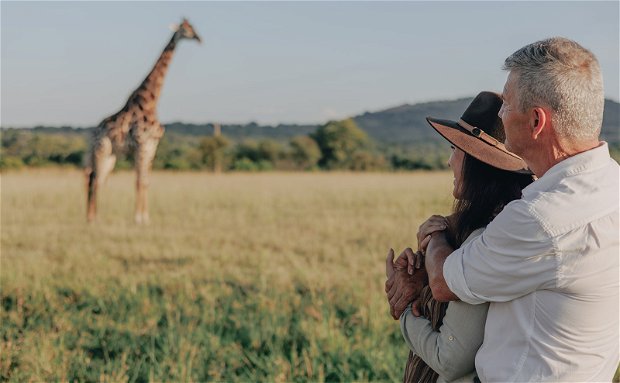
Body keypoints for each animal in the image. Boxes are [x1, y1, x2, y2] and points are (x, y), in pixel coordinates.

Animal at [86, 19, 201, 224]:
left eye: (193, 27)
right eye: (185, 29)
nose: (199, 37)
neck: (151, 102)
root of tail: (93, 133)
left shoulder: (152, 145)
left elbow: (146, 181)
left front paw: (146, 217)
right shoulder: (142, 144)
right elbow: (139, 181)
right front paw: (138, 217)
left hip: (112, 155)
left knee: (97, 179)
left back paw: (93, 216)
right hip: (102, 149)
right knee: (94, 178)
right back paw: (93, 218)